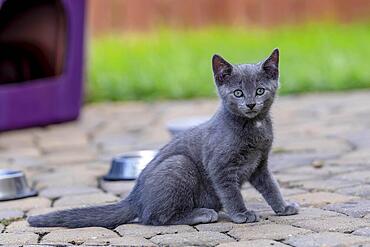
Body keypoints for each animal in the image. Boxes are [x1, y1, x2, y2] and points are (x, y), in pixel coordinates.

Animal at [29, 49, 300, 229]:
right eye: (238, 93)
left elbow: (271, 187)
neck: (254, 127)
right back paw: (202, 214)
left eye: (260, 90)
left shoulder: (260, 165)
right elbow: (232, 193)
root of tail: (134, 198)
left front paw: (283, 207)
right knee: (154, 217)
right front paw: (241, 214)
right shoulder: (220, 166)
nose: (251, 104)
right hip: (180, 165)